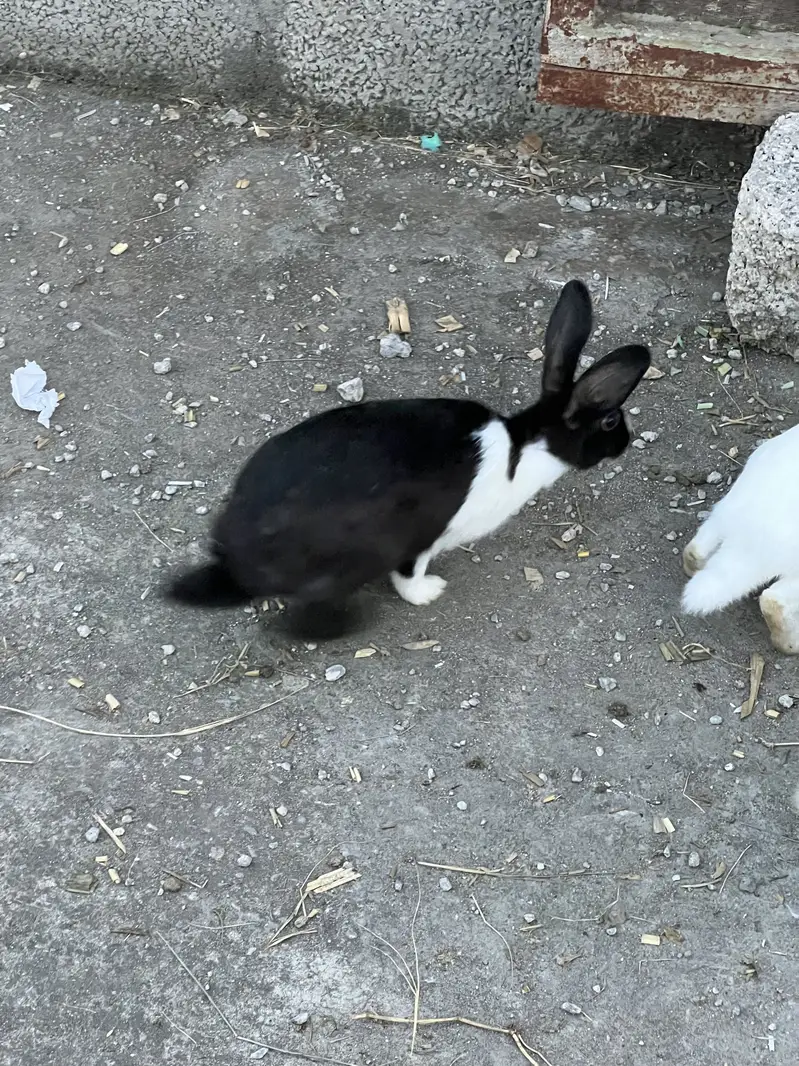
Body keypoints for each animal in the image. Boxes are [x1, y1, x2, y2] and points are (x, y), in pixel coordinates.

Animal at [164, 279, 650, 638]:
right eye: (610, 422)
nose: (626, 441)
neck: (523, 448)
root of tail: (239, 565)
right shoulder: (422, 539)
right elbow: (408, 577)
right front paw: (430, 592)